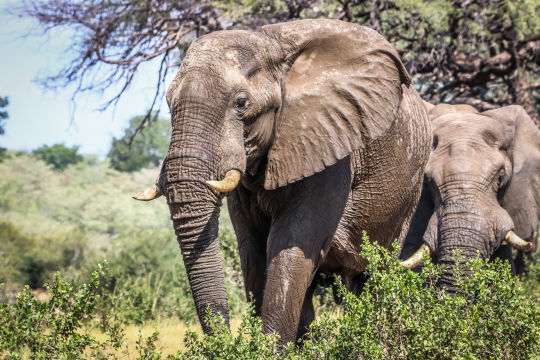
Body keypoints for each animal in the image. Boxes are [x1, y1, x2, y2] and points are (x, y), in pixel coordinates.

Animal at [134, 18, 430, 344]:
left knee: (373, 276)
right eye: (168, 103)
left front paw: (267, 349)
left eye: (241, 103)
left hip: (407, 195)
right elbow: (253, 249)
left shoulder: (329, 143)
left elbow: (291, 243)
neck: (270, 44)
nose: (225, 342)